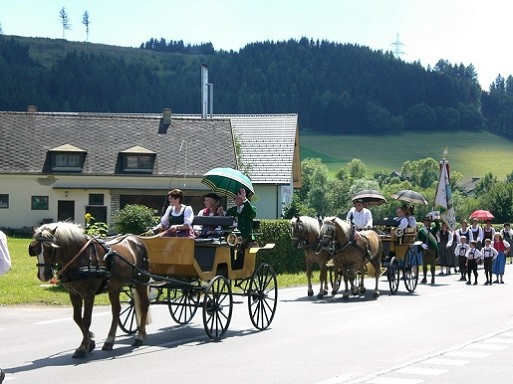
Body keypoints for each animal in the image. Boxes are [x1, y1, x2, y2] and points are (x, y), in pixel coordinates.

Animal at [28, 222, 149, 356]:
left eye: (50, 249)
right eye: (35, 249)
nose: (43, 275)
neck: (79, 256)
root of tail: (137, 239)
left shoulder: (88, 293)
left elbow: (86, 319)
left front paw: (83, 347)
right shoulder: (73, 293)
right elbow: (77, 318)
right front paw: (90, 342)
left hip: (141, 282)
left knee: (144, 305)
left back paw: (140, 337)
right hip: (114, 286)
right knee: (116, 310)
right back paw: (110, 340)